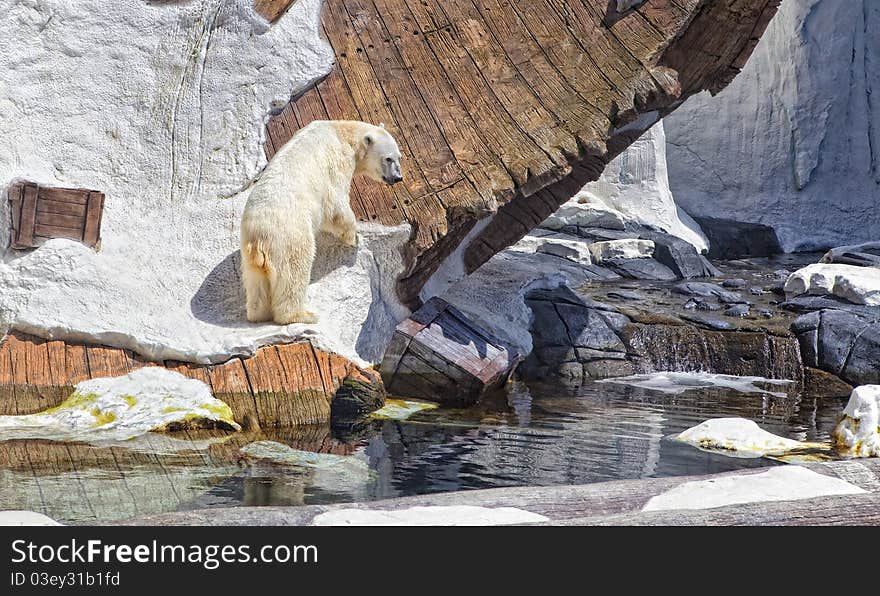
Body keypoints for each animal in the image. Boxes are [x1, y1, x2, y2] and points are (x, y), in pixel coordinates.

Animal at [242, 120, 404, 324]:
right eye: (388, 159)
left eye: (399, 157)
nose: (398, 178)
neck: (342, 131)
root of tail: (258, 239)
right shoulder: (336, 162)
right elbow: (337, 204)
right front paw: (355, 238)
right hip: (289, 237)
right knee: (295, 269)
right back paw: (302, 315)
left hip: (249, 253)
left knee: (256, 283)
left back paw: (259, 315)